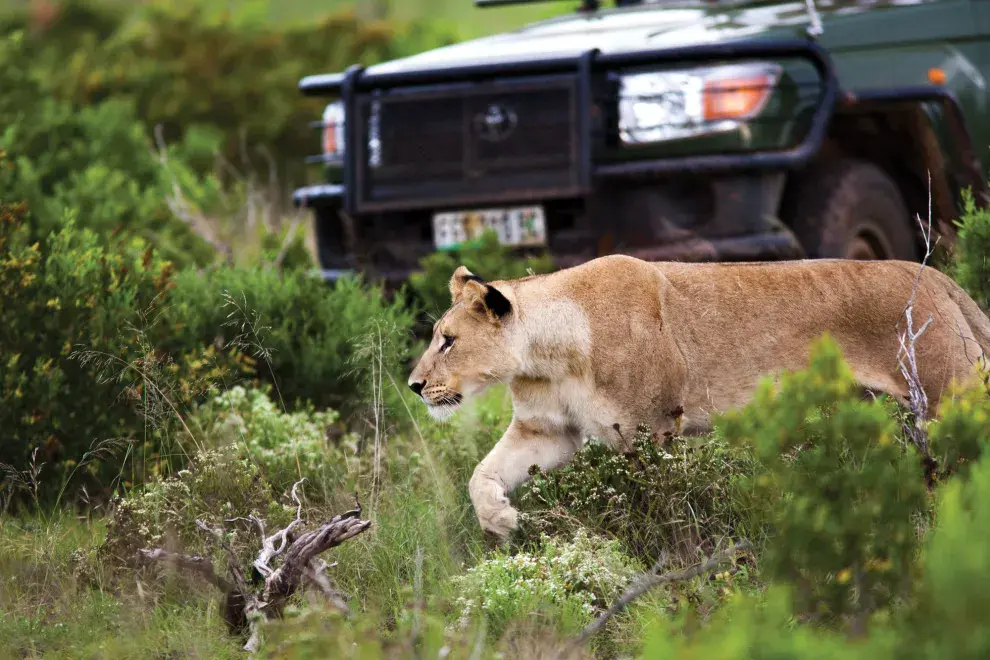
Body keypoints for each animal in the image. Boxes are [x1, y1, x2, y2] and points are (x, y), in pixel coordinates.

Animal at [407, 255, 990, 538]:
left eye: (448, 340)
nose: (414, 385)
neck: (549, 355)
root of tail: (936, 276)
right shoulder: (546, 431)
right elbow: (480, 476)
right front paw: (505, 522)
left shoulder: (647, 430)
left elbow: (650, 509)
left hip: (948, 397)